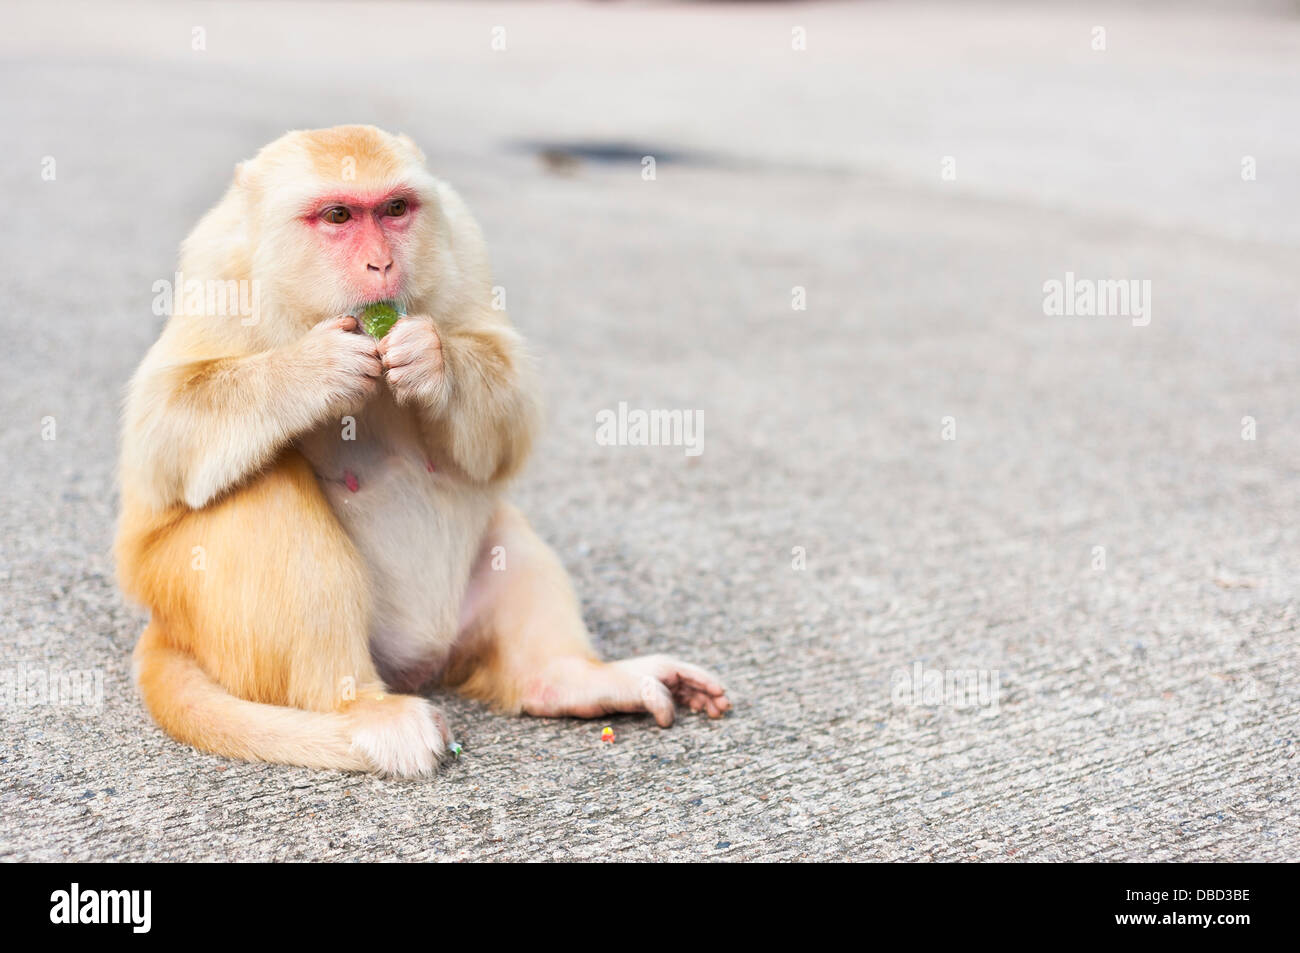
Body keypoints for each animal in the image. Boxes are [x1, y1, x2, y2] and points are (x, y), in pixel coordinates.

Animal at [116, 124, 733, 774]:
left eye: (395, 209)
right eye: (338, 215)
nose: (382, 263)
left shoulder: (461, 237)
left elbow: (511, 407)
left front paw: (433, 362)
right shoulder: (216, 269)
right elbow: (162, 433)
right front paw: (316, 369)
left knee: (509, 537)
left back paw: (570, 680)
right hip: (182, 593)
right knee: (262, 491)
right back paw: (358, 706)